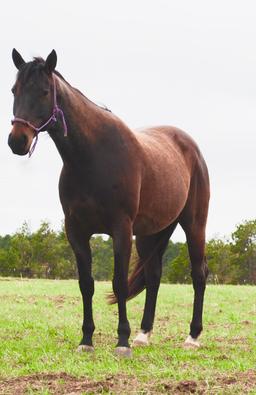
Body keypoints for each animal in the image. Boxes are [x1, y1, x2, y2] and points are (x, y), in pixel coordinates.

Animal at [8, 48, 210, 358]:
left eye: (44, 92)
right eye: (14, 90)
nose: (17, 140)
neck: (93, 157)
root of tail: (191, 148)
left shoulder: (121, 230)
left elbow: (118, 283)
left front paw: (122, 342)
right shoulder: (76, 231)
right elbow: (86, 284)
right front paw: (86, 340)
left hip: (194, 225)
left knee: (198, 275)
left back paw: (192, 336)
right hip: (150, 234)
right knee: (153, 276)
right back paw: (144, 335)